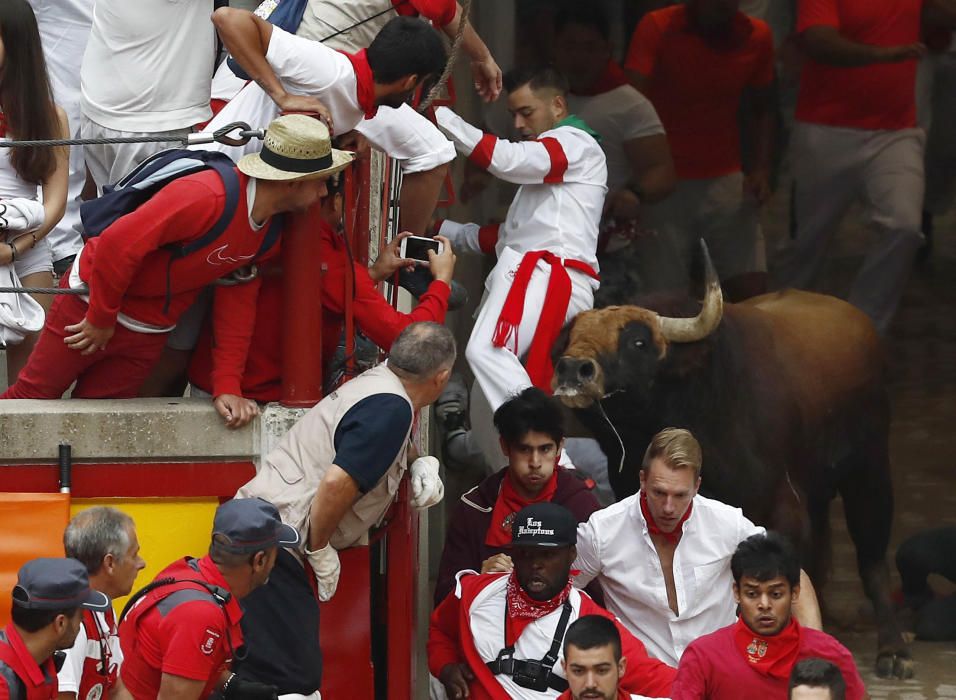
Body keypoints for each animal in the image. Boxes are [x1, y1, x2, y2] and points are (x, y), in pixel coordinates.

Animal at [548, 245, 908, 680]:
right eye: (571, 337)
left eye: (637, 341)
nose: (573, 369)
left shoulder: (782, 510)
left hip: (870, 471)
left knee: (871, 554)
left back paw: (893, 649)